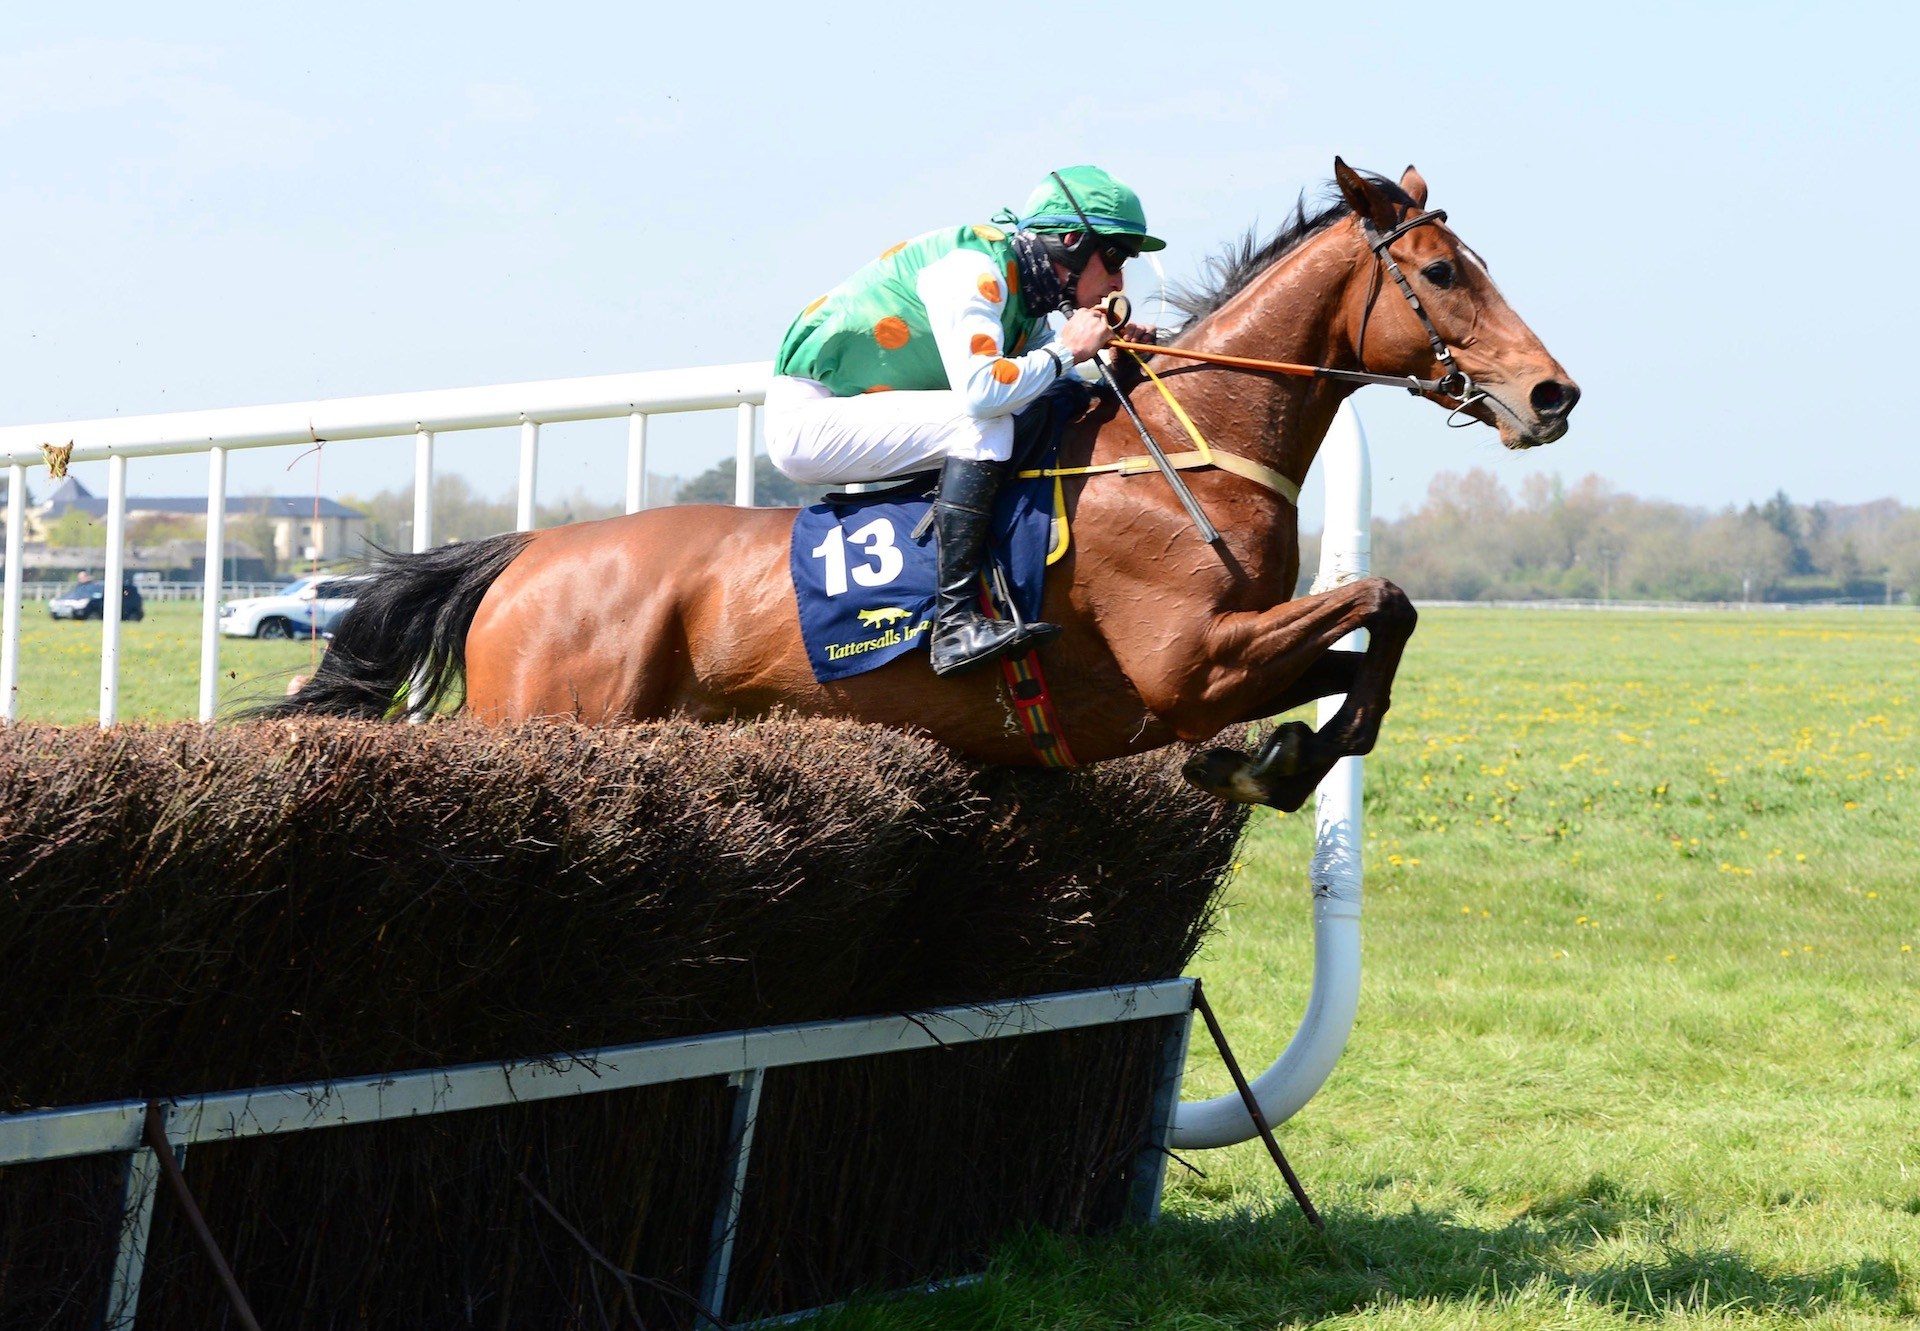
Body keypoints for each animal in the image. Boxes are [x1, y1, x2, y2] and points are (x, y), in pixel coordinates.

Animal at [270, 165, 1574, 810]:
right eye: (1444, 273)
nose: (1552, 393)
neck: (1181, 456)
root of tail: (526, 555)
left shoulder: (1229, 662)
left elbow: (1371, 646)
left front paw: (1277, 761)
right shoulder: (1189, 664)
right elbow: (1386, 600)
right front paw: (1271, 762)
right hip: (543, 715)